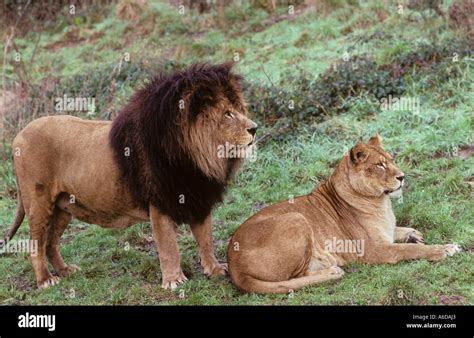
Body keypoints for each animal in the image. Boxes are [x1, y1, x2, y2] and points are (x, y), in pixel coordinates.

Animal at [5, 64, 258, 290]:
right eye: (227, 114)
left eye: (239, 109)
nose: (255, 128)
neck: (196, 156)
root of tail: (19, 135)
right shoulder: (159, 204)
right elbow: (169, 247)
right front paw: (174, 281)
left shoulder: (198, 198)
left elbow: (206, 239)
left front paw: (215, 270)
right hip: (39, 203)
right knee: (36, 244)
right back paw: (45, 280)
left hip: (63, 205)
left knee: (51, 243)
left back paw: (66, 271)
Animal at [228, 135, 462, 294]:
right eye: (379, 165)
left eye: (392, 159)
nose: (402, 177)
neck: (382, 203)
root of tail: (233, 263)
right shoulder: (374, 250)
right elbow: (409, 250)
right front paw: (444, 249)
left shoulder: (385, 232)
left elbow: (398, 231)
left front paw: (412, 233)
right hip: (296, 218)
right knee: (294, 278)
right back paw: (332, 271)